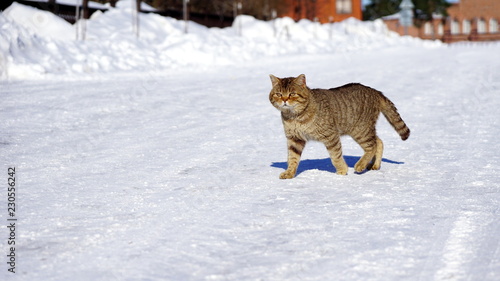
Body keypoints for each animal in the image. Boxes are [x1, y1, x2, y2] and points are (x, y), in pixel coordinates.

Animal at [270, 74, 410, 179]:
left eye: (292, 94)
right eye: (278, 94)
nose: (284, 100)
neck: (294, 116)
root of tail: (375, 91)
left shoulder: (331, 135)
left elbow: (335, 155)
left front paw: (342, 169)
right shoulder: (294, 139)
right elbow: (292, 158)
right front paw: (289, 173)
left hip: (360, 130)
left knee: (372, 146)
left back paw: (360, 165)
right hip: (364, 129)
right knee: (379, 142)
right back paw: (374, 165)